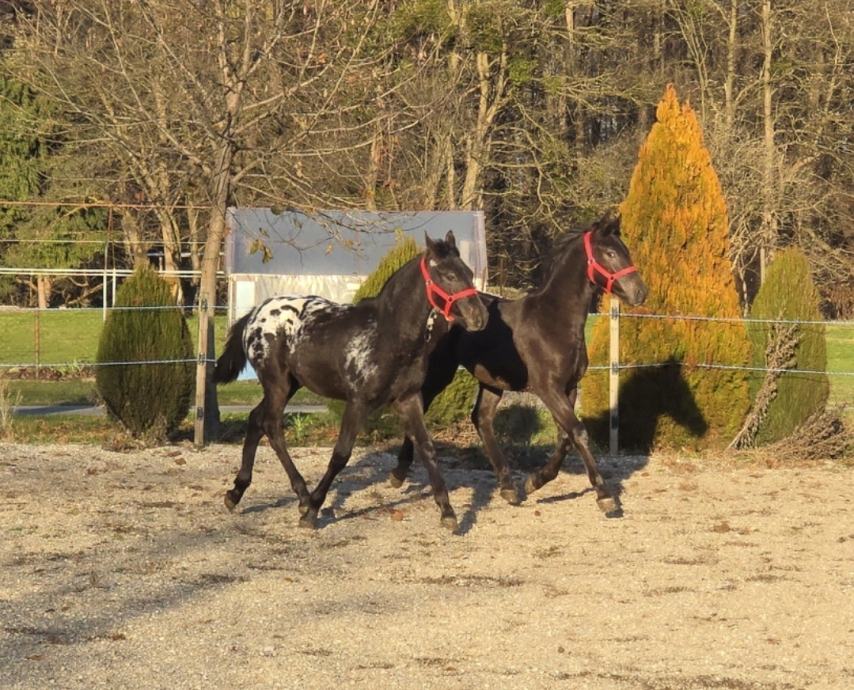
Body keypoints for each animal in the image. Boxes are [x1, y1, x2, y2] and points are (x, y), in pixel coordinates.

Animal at [214, 231, 488, 531]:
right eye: (449, 275)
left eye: (469, 272)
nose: (480, 317)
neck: (389, 336)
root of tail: (255, 315)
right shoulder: (358, 402)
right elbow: (341, 454)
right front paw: (313, 511)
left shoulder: (409, 398)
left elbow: (427, 447)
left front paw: (447, 512)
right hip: (278, 384)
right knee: (271, 426)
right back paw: (302, 497)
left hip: (291, 384)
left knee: (255, 419)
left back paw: (237, 492)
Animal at [390, 214, 648, 515]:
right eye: (609, 253)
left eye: (624, 251)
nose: (640, 292)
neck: (553, 321)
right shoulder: (547, 389)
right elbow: (578, 432)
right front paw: (605, 496)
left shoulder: (569, 388)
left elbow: (565, 437)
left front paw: (534, 481)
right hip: (439, 373)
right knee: (419, 411)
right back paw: (398, 473)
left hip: (491, 382)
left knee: (481, 418)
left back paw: (509, 487)